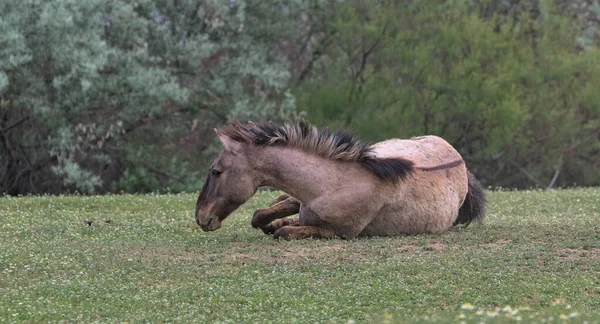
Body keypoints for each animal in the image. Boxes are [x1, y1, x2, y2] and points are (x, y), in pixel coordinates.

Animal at [195, 120, 486, 239]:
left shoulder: (341, 233)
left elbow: (284, 232)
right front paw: (277, 221)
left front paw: (283, 225)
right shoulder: (301, 202)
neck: (332, 185)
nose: (200, 218)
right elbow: (260, 216)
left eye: (216, 171)